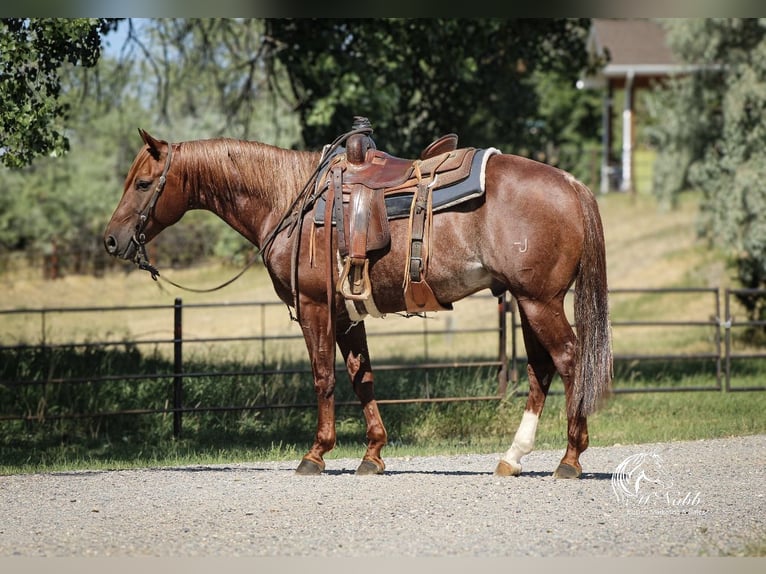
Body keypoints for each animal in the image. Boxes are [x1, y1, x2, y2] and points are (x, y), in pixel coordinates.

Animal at [104, 127, 612, 478]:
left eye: (144, 183)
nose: (112, 239)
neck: (290, 200)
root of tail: (572, 184)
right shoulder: (346, 313)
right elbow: (360, 376)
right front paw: (373, 453)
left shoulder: (314, 307)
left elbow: (324, 377)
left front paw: (316, 453)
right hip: (529, 302)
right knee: (541, 368)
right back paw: (512, 457)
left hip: (539, 301)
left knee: (569, 359)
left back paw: (570, 458)